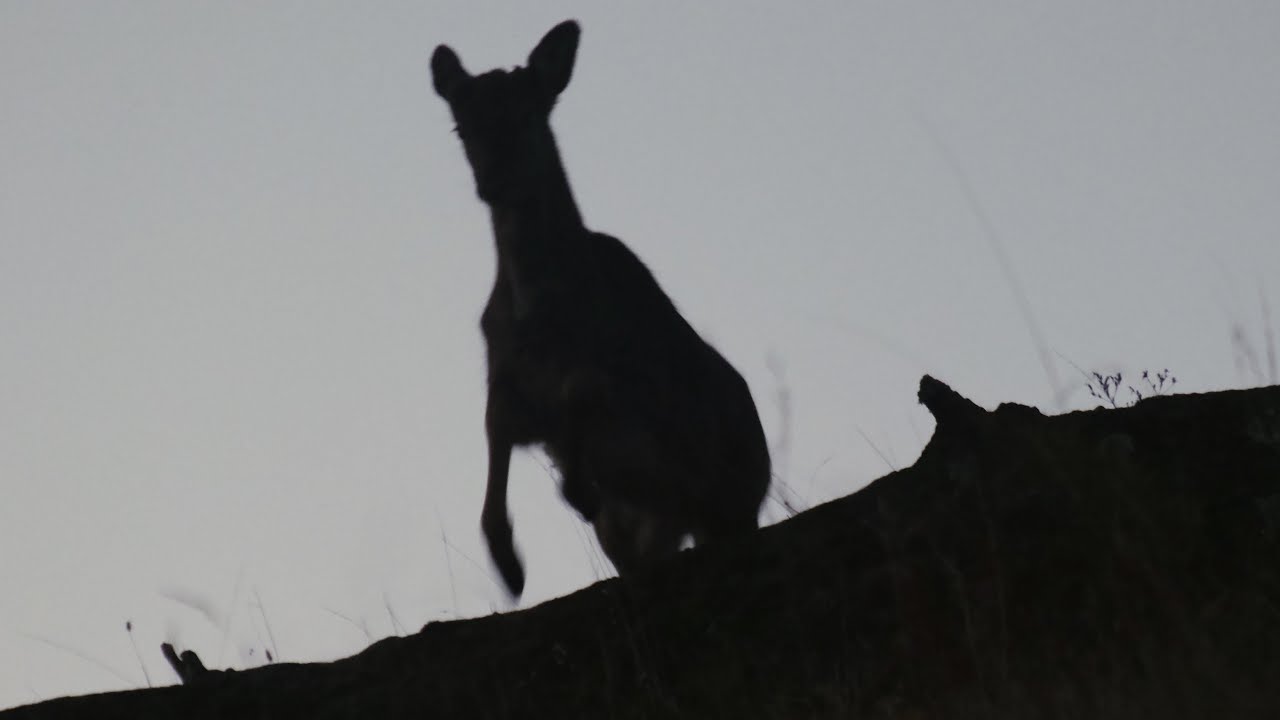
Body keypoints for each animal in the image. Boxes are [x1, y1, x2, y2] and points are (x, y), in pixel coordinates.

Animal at [430, 20, 771, 599]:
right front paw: (509, 563)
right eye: (460, 126)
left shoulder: (624, 372)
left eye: (528, 113)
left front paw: (577, 491)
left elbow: (581, 392)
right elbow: (495, 432)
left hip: (729, 499)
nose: (492, 182)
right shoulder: (502, 370)